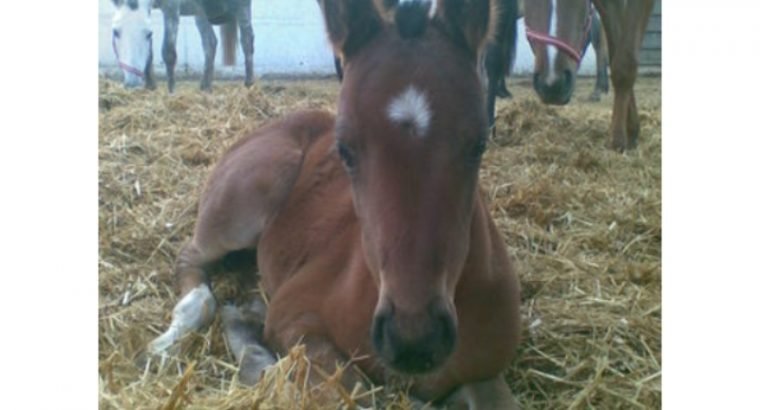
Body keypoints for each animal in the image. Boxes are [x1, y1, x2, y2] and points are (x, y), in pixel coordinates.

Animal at [110, 0, 254, 91]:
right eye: (115, 32)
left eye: (149, 33)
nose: (132, 82)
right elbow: (149, 53)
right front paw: (150, 87)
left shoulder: (171, 6)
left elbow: (168, 52)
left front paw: (171, 92)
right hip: (199, 11)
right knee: (210, 43)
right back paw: (205, 86)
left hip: (242, 7)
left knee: (247, 41)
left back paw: (249, 84)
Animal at [148, 0, 524, 406]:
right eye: (344, 149)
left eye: (479, 144)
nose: (414, 339)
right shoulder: (294, 317)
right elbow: (351, 393)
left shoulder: (484, 371)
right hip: (240, 208)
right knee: (192, 260)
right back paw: (171, 339)